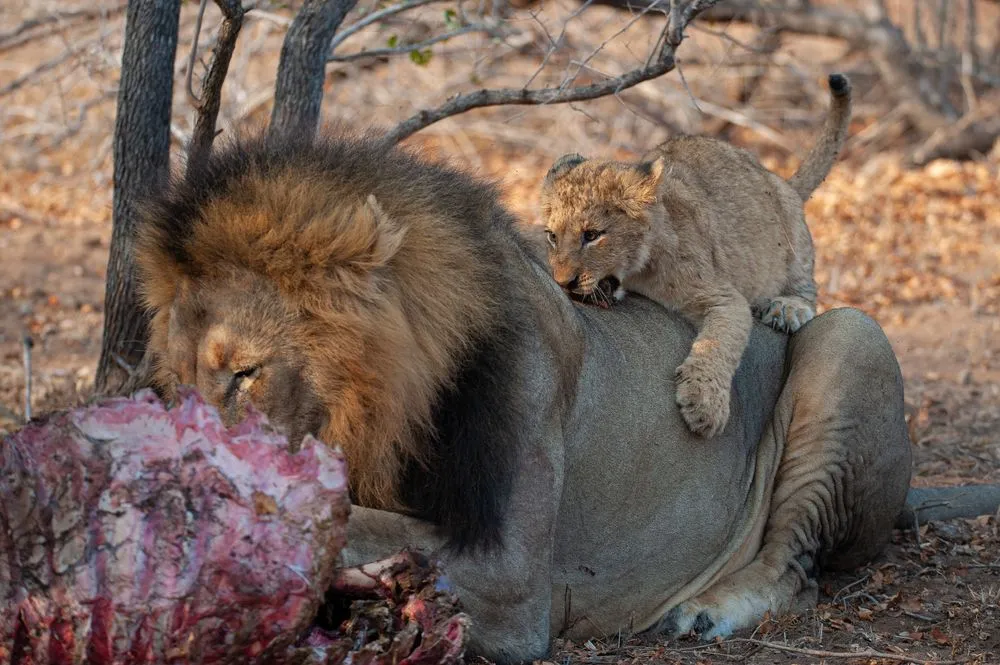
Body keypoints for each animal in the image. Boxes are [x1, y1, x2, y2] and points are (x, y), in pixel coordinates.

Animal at [135, 130, 912, 663]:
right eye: (179, 382)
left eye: (246, 372)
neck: (384, 412)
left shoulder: (511, 579)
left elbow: (355, 522)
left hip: (853, 335)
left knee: (797, 568)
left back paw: (704, 610)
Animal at [539, 74, 852, 439]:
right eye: (552, 236)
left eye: (592, 235)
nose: (563, 283)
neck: (640, 271)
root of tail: (776, 177)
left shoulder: (723, 296)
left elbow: (717, 344)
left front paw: (704, 405)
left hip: (792, 233)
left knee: (808, 288)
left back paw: (787, 308)